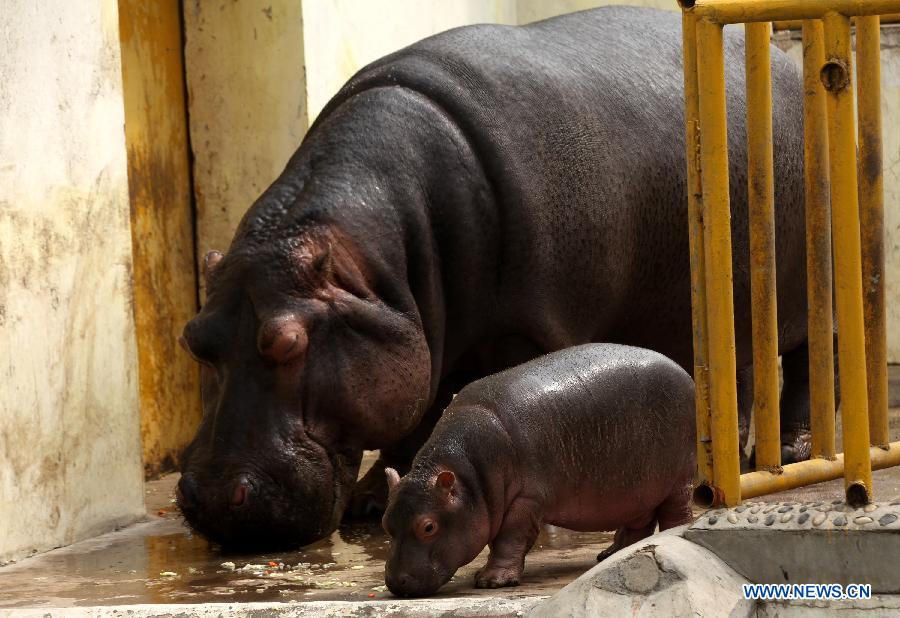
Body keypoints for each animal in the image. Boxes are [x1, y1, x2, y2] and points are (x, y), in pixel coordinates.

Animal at [176, 6, 815, 548]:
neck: (376, 263)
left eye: (287, 341)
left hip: (803, 287)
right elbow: (418, 409)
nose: (213, 501)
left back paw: (789, 450)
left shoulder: (525, 328)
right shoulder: (421, 331)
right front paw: (372, 502)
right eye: (192, 339)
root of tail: (783, 60)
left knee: (802, 359)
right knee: (738, 371)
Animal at [382, 344, 696, 596]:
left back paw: (669, 540)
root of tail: (685, 372)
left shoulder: (526, 499)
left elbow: (509, 538)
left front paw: (491, 581)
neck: (468, 477)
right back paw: (610, 555)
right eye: (386, 523)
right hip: (637, 488)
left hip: (678, 478)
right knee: (638, 522)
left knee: (676, 513)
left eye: (428, 526)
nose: (396, 583)